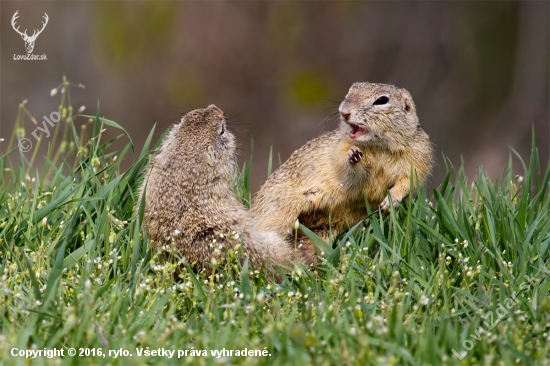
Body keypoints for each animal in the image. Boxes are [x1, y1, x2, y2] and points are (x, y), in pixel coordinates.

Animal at [250, 82, 436, 264]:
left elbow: (408, 181)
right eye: (351, 90)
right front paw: (353, 156)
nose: (344, 111)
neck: (379, 147)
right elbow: (348, 174)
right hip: (279, 209)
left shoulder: (418, 158)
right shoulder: (340, 149)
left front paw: (391, 200)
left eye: (382, 100)